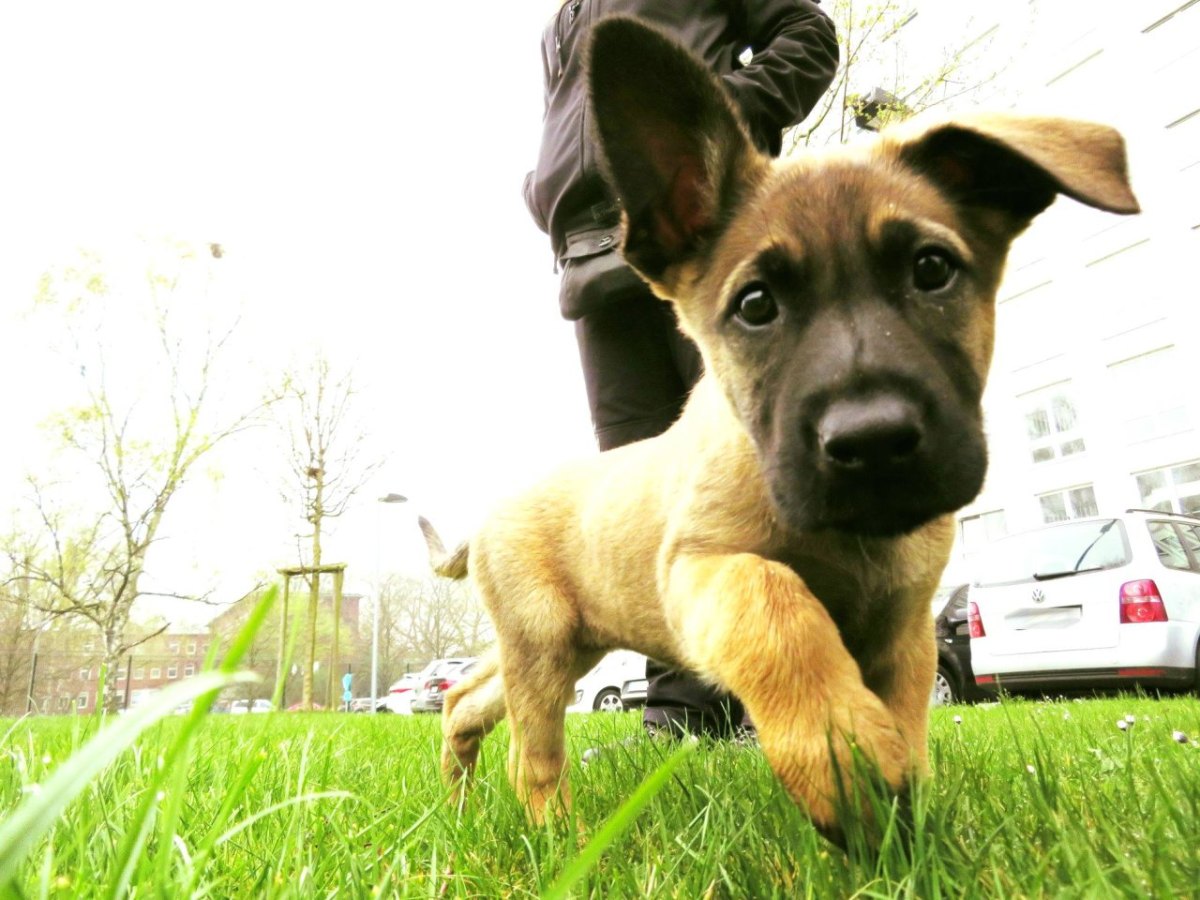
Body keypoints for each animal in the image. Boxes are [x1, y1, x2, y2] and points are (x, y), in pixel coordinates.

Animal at [424, 15, 1142, 840]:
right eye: (756, 305)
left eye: (933, 270)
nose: (873, 441)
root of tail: (487, 516)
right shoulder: (701, 571)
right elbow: (774, 602)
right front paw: (842, 755)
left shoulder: (904, 630)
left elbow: (907, 723)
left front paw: (895, 819)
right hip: (544, 645)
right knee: (531, 754)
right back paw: (557, 837)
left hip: (566, 641)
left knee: (463, 700)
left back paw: (459, 807)